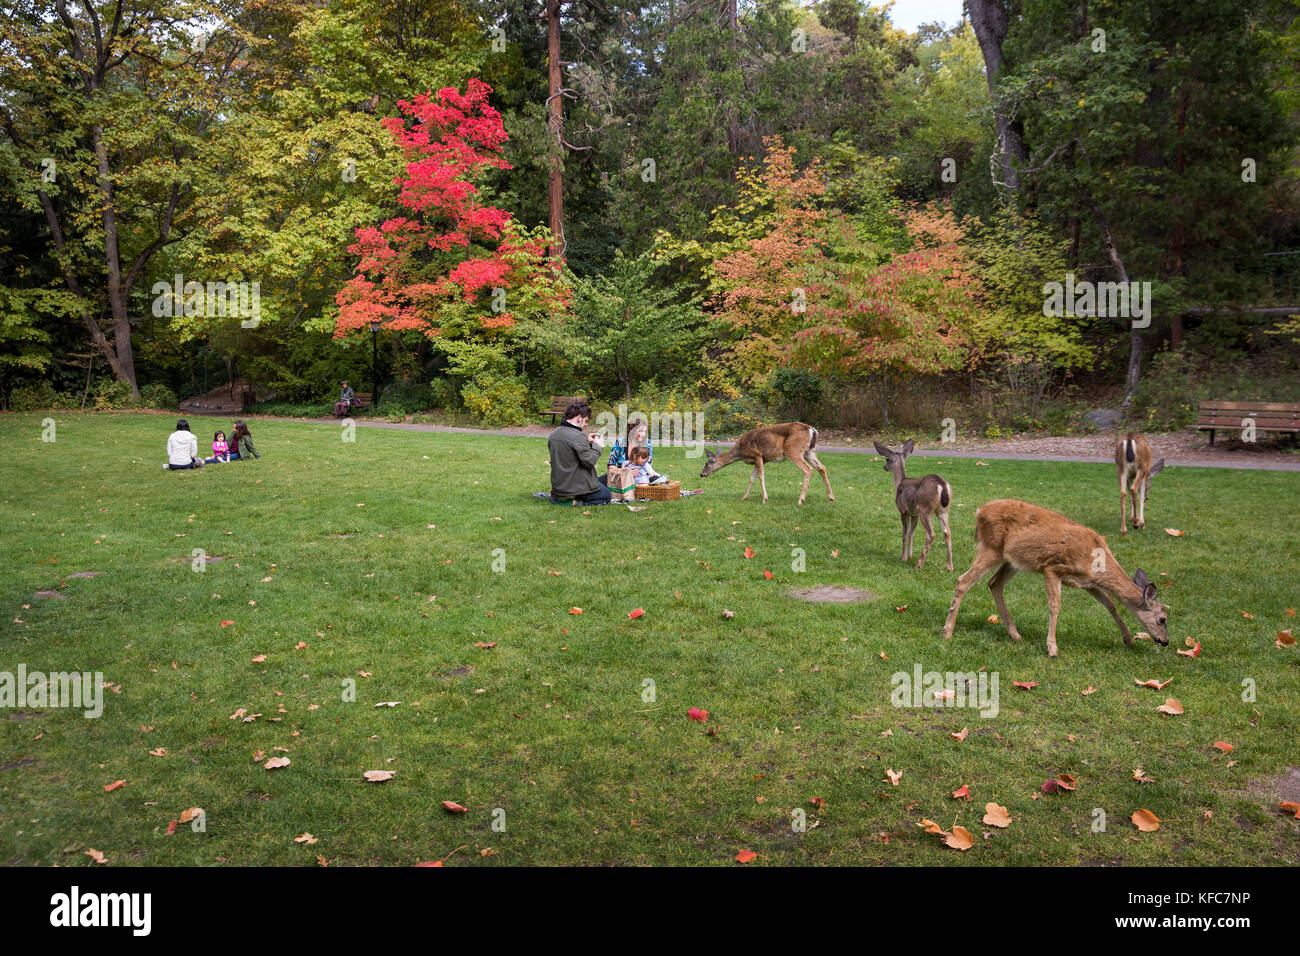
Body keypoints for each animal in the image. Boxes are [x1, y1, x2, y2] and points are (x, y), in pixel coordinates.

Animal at [702, 421, 832, 504]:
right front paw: (744, 497)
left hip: (793, 450)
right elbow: (751, 478)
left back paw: (801, 500)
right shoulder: (762, 460)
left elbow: (760, 476)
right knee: (822, 467)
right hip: (809, 452)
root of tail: (812, 430)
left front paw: (765, 498)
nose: (701, 474)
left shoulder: (758, 454)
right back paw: (831, 497)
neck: (741, 451)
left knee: (808, 469)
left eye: (706, 463)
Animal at [873, 442, 956, 572]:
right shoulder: (914, 514)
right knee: (947, 532)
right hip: (943, 510)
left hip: (924, 509)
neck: (899, 482)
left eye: (887, 459)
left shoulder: (903, 511)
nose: (884, 467)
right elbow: (911, 534)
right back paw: (950, 567)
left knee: (931, 534)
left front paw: (904, 557)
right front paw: (910, 556)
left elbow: (904, 534)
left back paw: (919, 564)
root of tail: (942, 484)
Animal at [941, 502, 1175, 658]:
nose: (1165, 641)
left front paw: (1128, 640)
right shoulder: (1052, 567)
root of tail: (979, 511)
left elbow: (1111, 605)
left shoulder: (1089, 583)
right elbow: (1055, 605)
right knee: (963, 580)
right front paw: (1052, 648)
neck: (1096, 560)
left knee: (994, 583)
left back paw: (1015, 634)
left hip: (1013, 560)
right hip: (992, 548)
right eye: (1162, 619)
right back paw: (947, 632)